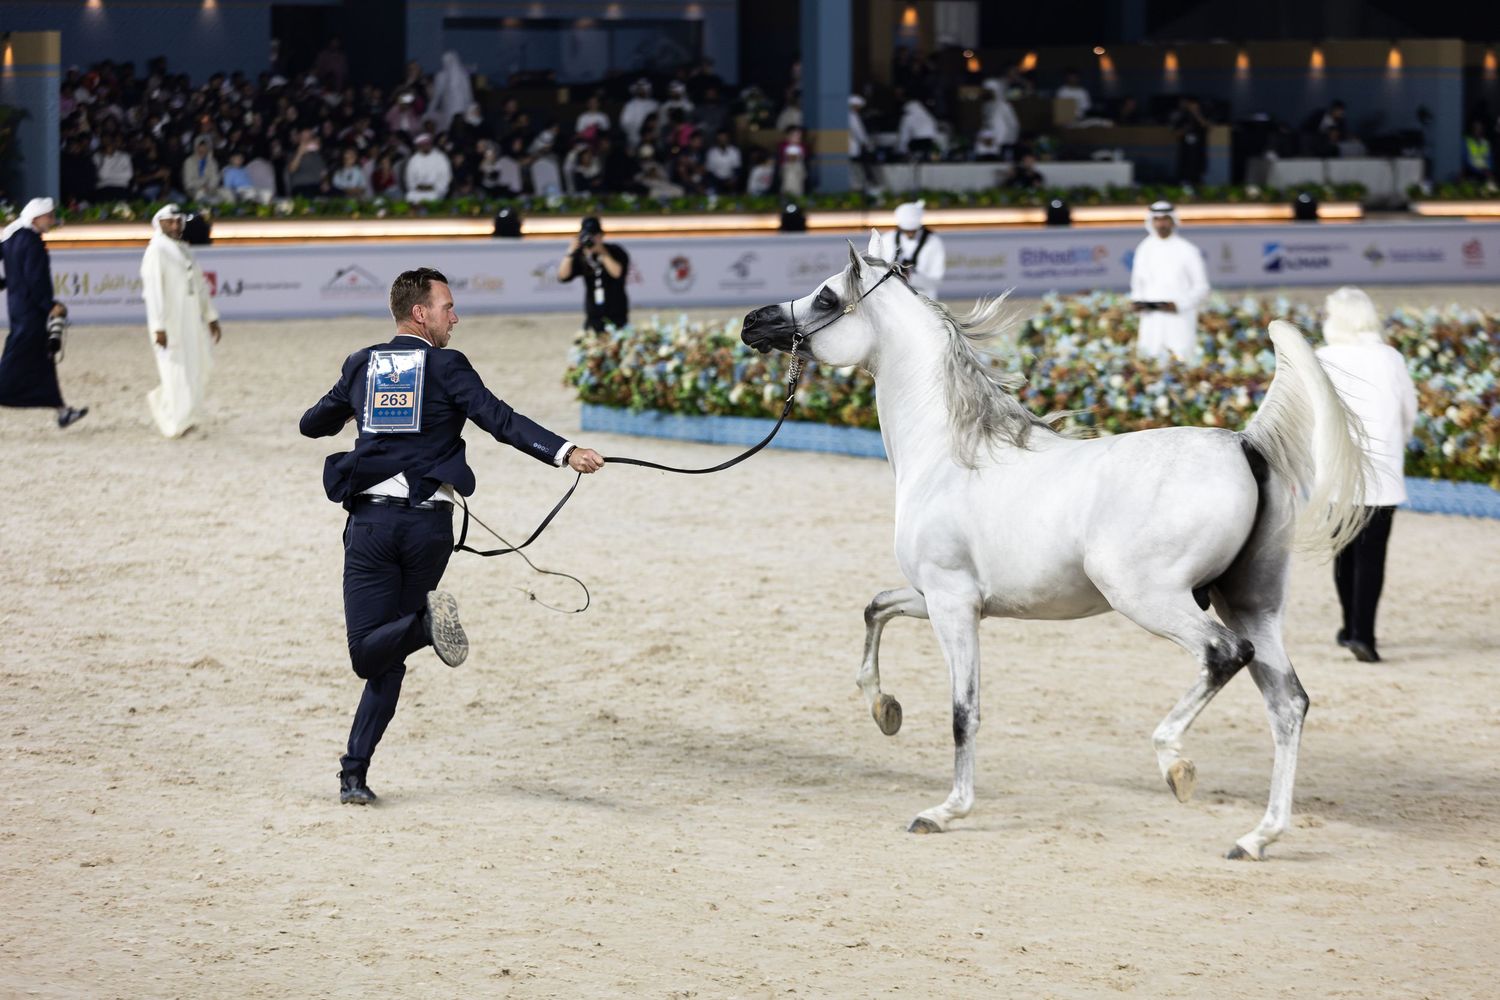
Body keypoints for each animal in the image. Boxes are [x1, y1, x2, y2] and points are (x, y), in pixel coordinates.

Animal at [741, 231, 1369, 860]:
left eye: (826, 297)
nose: (753, 322)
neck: (950, 455)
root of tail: (1243, 444)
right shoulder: (939, 597)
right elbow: (875, 608)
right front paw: (884, 709)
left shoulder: (952, 604)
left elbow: (963, 711)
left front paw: (946, 811)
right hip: (1250, 603)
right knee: (1289, 704)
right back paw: (1258, 837)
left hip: (1151, 599)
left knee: (1224, 656)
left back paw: (1176, 764)